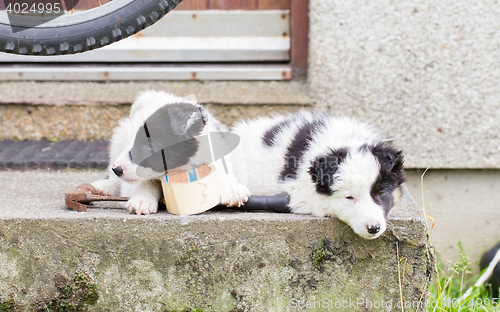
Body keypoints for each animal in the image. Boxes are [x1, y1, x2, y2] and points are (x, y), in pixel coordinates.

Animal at [91, 90, 250, 214]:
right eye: (131, 139)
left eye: (151, 146)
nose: (117, 169)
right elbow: (146, 182)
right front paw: (143, 198)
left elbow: (221, 170)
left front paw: (232, 190)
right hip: (118, 140)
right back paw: (104, 187)